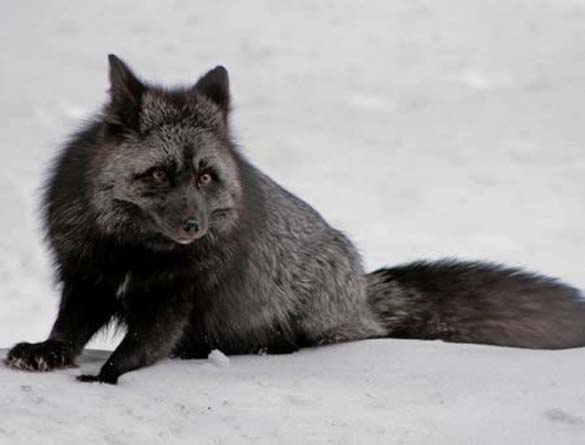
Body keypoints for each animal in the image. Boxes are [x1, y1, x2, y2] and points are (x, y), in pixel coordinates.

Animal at [4, 54, 584, 382]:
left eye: (206, 177)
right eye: (159, 174)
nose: (194, 227)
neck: (133, 250)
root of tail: (362, 291)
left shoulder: (177, 298)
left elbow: (143, 344)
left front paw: (110, 373)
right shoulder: (87, 278)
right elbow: (69, 329)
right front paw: (46, 353)